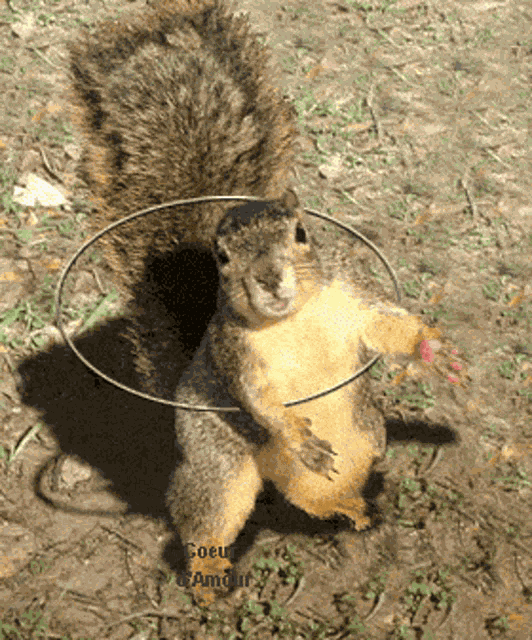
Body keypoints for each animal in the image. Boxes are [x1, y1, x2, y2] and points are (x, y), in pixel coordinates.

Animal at [47, 0, 452, 606]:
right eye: (221, 258)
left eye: (301, 234)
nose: (269, 278)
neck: (292, 321)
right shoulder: (233, 352)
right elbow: (258, 399)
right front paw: (294, 432)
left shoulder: (350, 302)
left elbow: (386, 329)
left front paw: (432, 350)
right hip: (221, 466)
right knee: (205, 518)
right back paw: (211, 578)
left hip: (362, 439)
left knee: (309, 496)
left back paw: (346, 505)